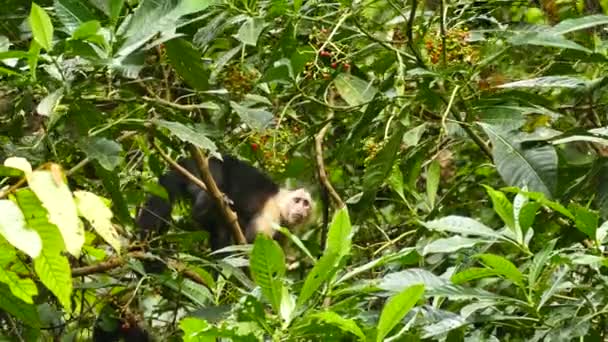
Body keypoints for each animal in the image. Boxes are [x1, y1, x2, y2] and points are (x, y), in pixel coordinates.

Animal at [135, 154, 312, 248]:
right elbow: (254, 242)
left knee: (219, 231)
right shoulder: (271, 210)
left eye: (306, 204)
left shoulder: (287, 230)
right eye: (297, 201)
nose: (301, 210)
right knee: (214, 182)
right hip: (202, 170)